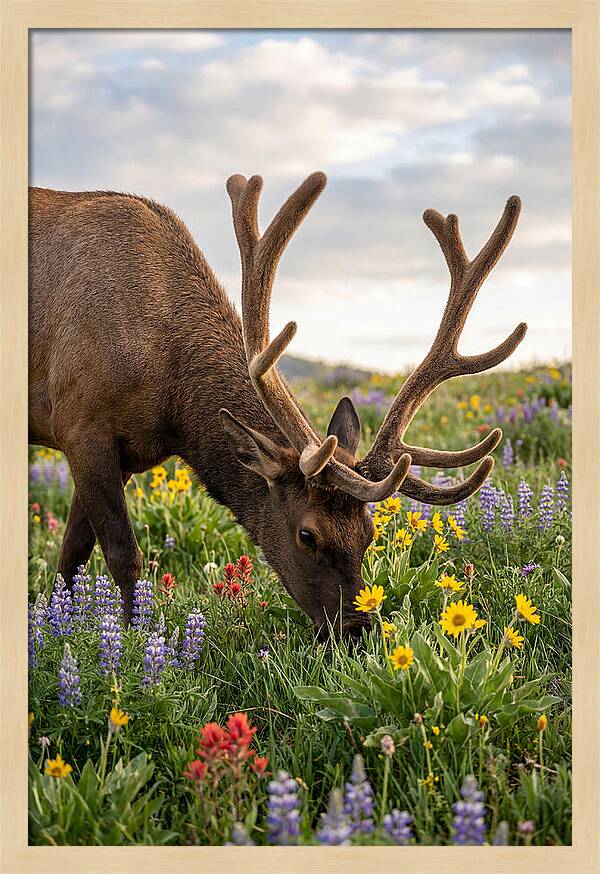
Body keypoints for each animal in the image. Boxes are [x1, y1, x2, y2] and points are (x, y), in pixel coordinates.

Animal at [28, 172, 527, 639]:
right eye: (307, 534)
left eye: (369, 534)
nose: (357, 631)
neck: (172, 403)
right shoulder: (81, 424)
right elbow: (121, 555)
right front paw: (131, 643)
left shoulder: (126, 453)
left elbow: (71, 557)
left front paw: (59, 627)